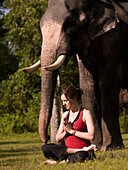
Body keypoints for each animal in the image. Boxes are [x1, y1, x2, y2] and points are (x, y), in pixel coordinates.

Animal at [22, 0, 128, 150]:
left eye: (69, 24)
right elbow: (87, 83)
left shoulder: (114, 38)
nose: (46, 139)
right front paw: (95, 144)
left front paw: (109, 147)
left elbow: (108, 82)